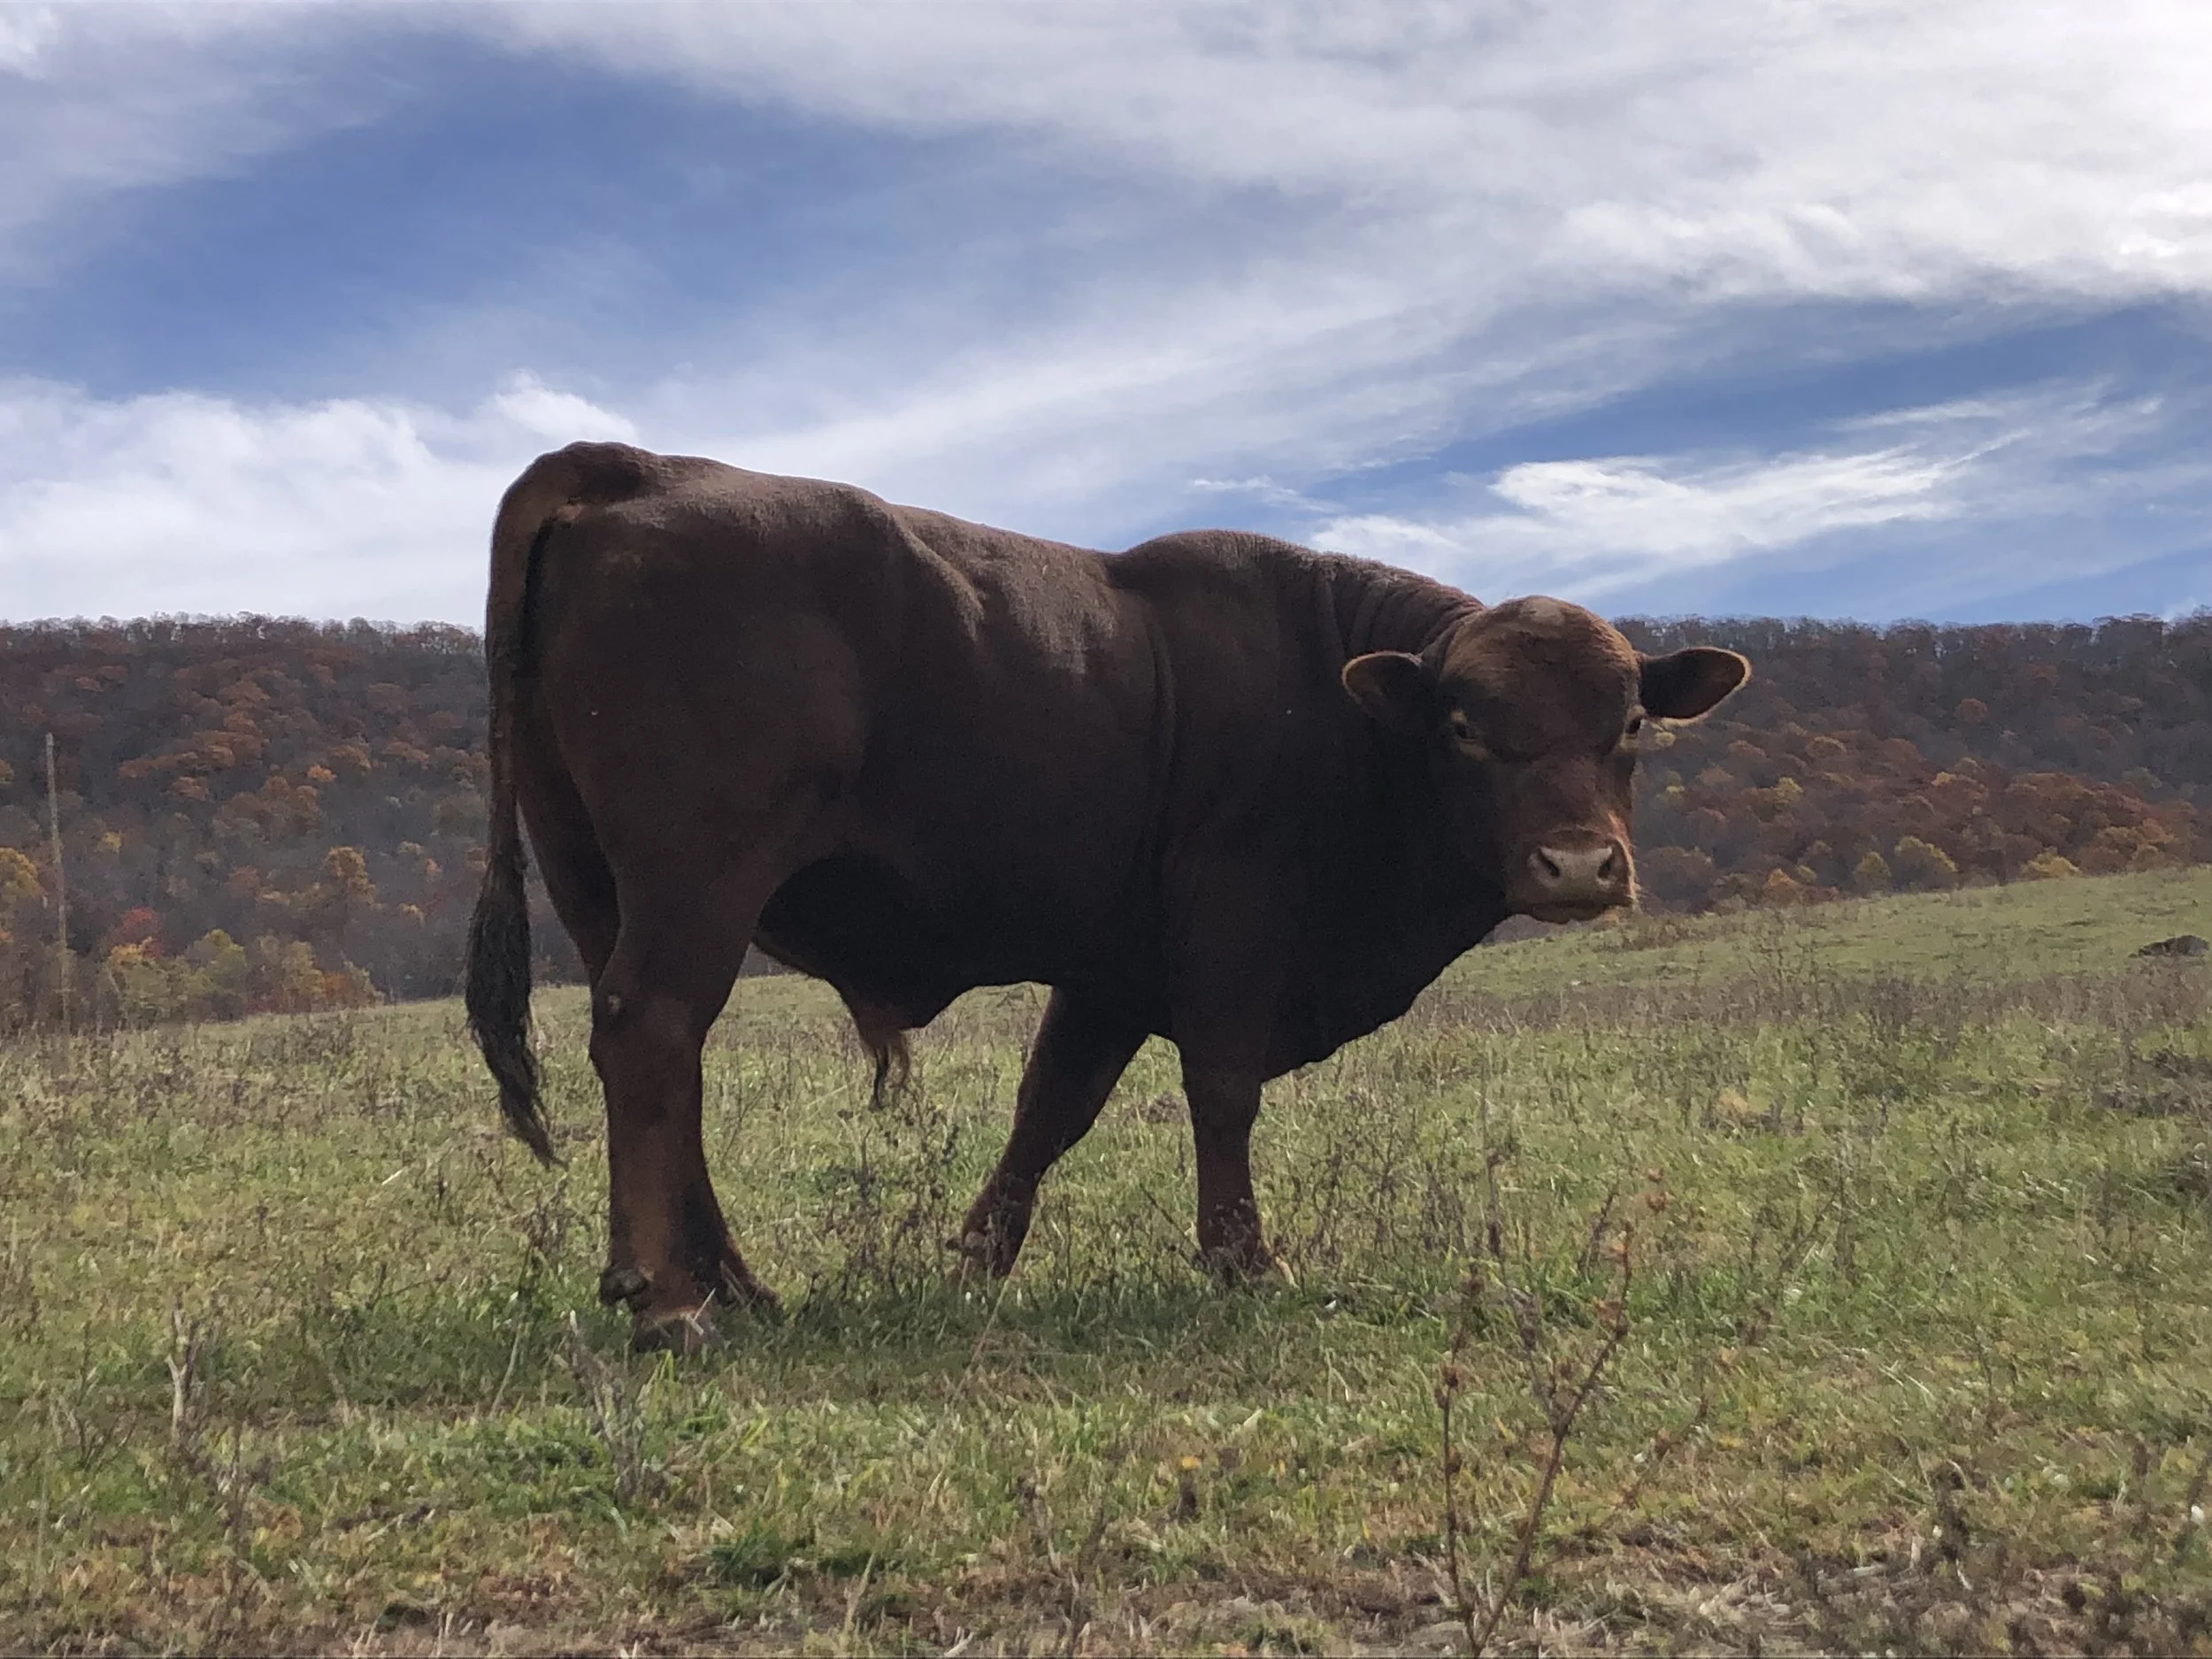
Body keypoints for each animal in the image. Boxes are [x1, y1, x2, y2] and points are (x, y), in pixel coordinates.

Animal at [465, 441, 1748, 1349]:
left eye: (1629, 724)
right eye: (1468, 727)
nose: (1578, 865)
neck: (1341, 711)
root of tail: (637, 467)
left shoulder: (1112, 970)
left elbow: (1052, 1107)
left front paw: (973, 1262)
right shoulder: (1233, 925)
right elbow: (1220, 1093)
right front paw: (1244, 1259)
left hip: (599, 882)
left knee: (656, 1065)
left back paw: (733, 1283)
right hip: (696, 882)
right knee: (653, 1033)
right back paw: (672, 1301)